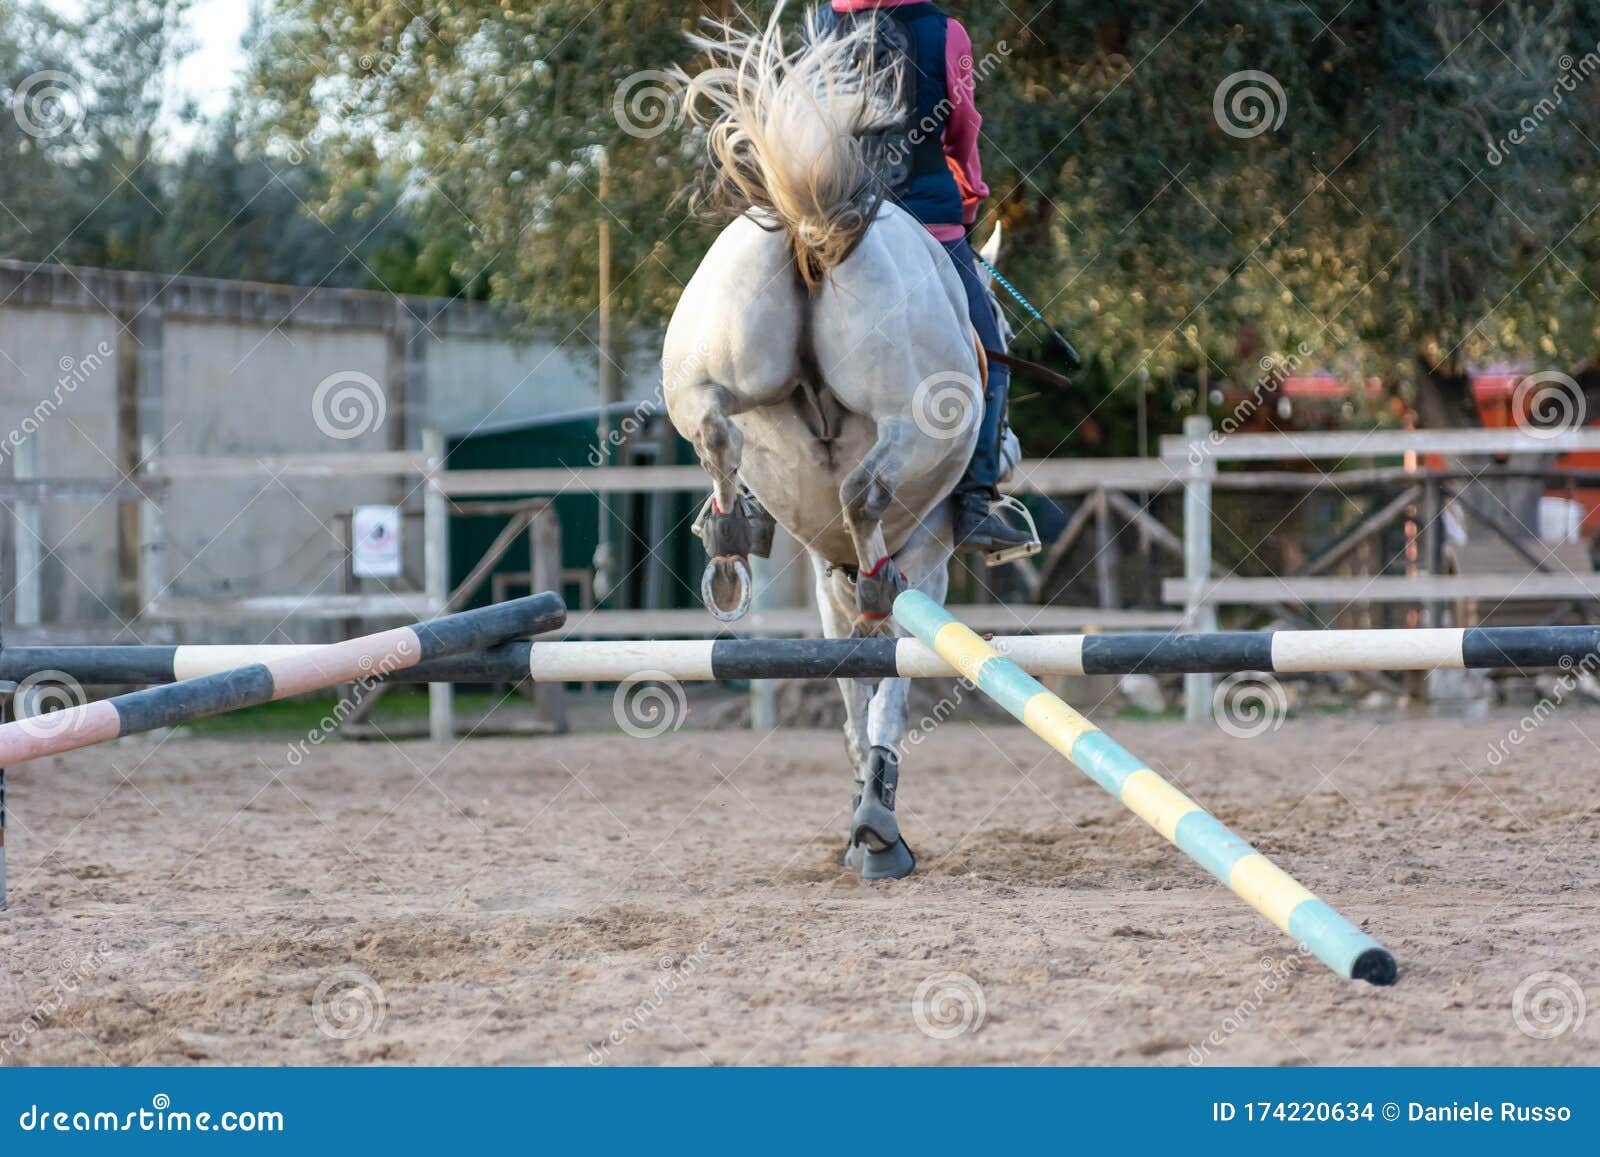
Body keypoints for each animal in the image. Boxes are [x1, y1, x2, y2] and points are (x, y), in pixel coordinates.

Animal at [665, 6, 985, 876]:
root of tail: (816, 226)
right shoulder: (928, 562)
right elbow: (883, 697)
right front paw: (876, 820)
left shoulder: (822, 574)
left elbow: (856, 689)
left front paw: (867, 812)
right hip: (914, 425)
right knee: (865, 495)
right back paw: (866, 575)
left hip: (705, 367)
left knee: (715, 428)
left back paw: (728, 544)